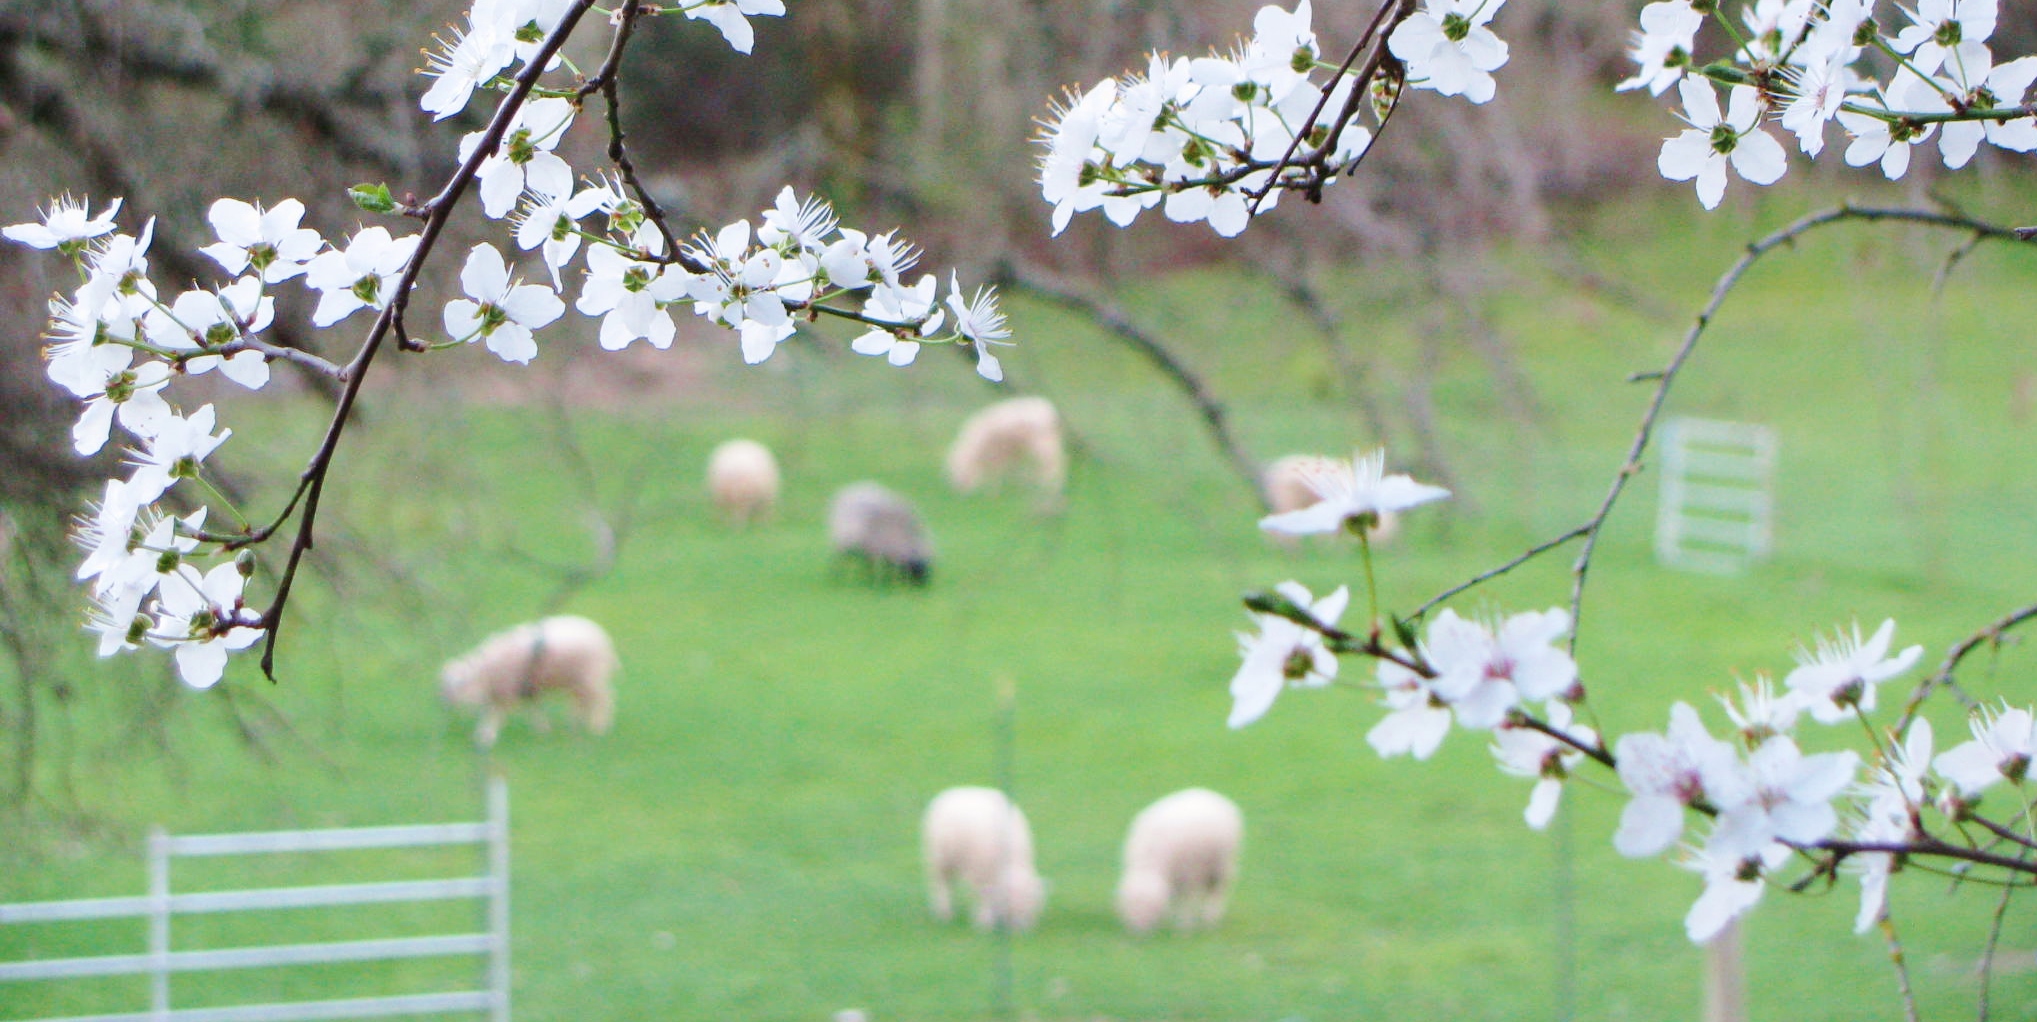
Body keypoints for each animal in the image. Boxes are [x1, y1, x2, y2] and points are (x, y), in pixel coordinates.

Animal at [435, 614, 611, 749]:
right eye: (444, 684)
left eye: (460, 683)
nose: (445, 702)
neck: (487, 671)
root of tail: (603, 638)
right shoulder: (526, 688)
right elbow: (534, 709)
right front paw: (543, 730)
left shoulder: (507, 690)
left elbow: (494, 714)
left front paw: (486, 737)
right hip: (578, 682)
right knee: (582, 702)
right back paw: (576, 725)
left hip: (591, 678)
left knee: (603, 701)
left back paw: (598, 727)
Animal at [928, 781, 1051, 932]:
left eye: (1030, 905)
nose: (1020, 931)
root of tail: (957, 789)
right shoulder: (980, 872)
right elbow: (983, 896)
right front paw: (985, 921)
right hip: (940, 859)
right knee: (942, 884)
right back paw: (944, 912)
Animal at [1116, 789, 1238, 932]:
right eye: (1130, 906)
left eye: (1150, 907)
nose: (1139, 931)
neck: (1148, 863)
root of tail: (1207, 792)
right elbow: (1174, 898)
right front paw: (1171, 920)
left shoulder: (1189, 873)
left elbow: (1185, 898)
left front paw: (1184, 924)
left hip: (1221, 865)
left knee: (1217, 891)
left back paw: (1211, 918)